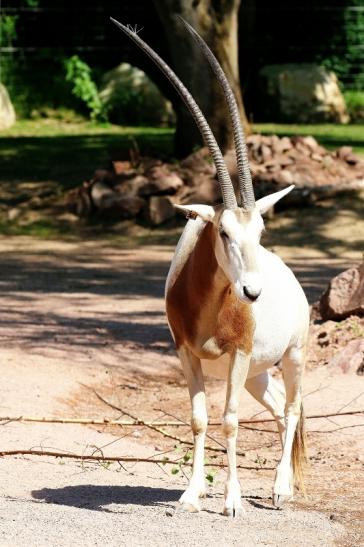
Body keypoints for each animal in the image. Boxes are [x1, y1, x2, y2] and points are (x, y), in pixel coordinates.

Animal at [111, 13, 310, 520]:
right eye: (223, 232)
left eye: (260, 231)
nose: (253, 293)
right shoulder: (187, 353)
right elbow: (200, 419)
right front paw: (191, 494)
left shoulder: (237, 355)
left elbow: (230, 421)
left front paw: (232, 501)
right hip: (259, 373)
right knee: (277, 409)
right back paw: (282, 485)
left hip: (292, 355)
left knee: (292, 409)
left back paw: (280, 490)